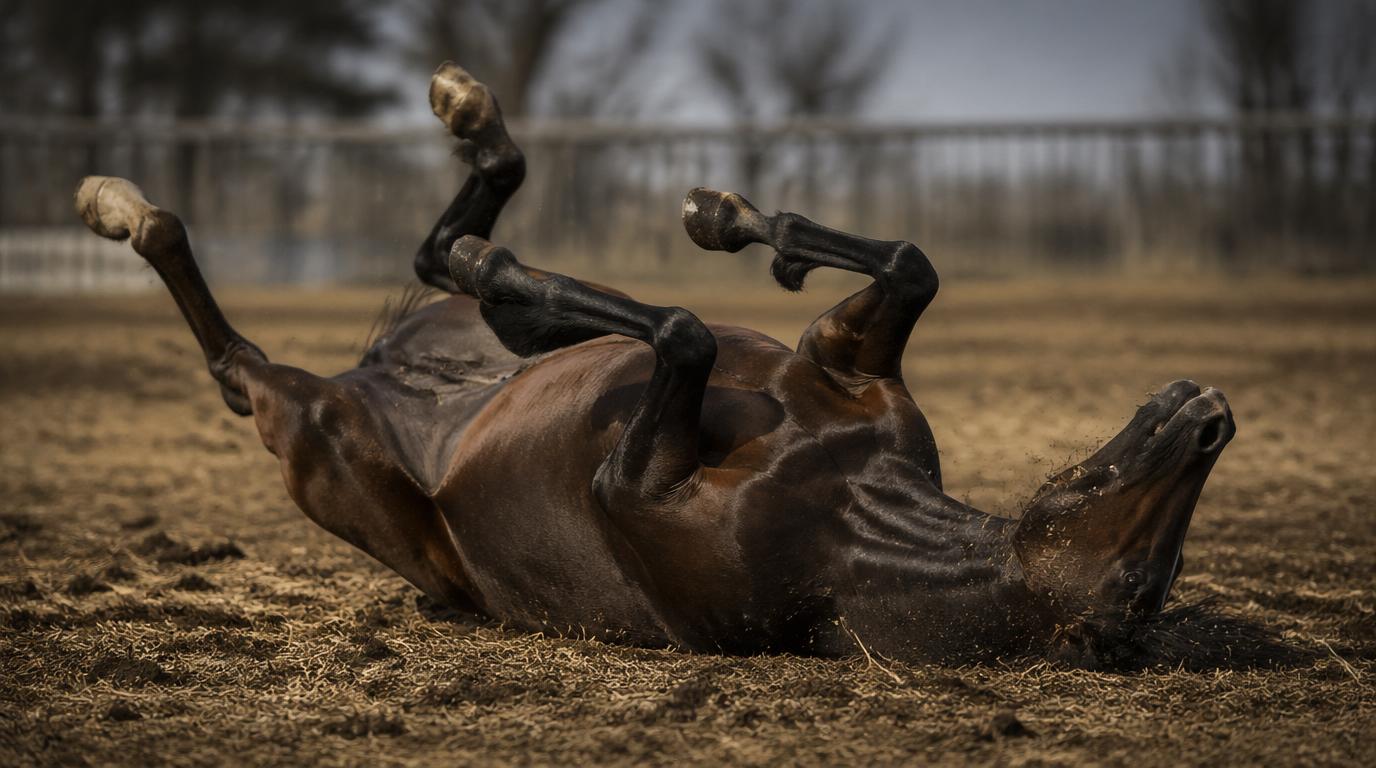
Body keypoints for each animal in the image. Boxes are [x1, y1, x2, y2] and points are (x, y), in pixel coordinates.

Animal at [72, 63, 1237, 667]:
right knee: (444, 254)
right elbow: (905, 265)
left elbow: (680, 328)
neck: (840, 501)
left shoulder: (628, 481)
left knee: (240, 359)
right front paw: (727, 216)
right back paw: (475, 131)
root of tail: (376, 376)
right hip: (452, 350)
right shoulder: (838, 354)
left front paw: (507, 265)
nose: (1208, 415)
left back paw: (127, 207)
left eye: (1141, 587)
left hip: (315, 439)